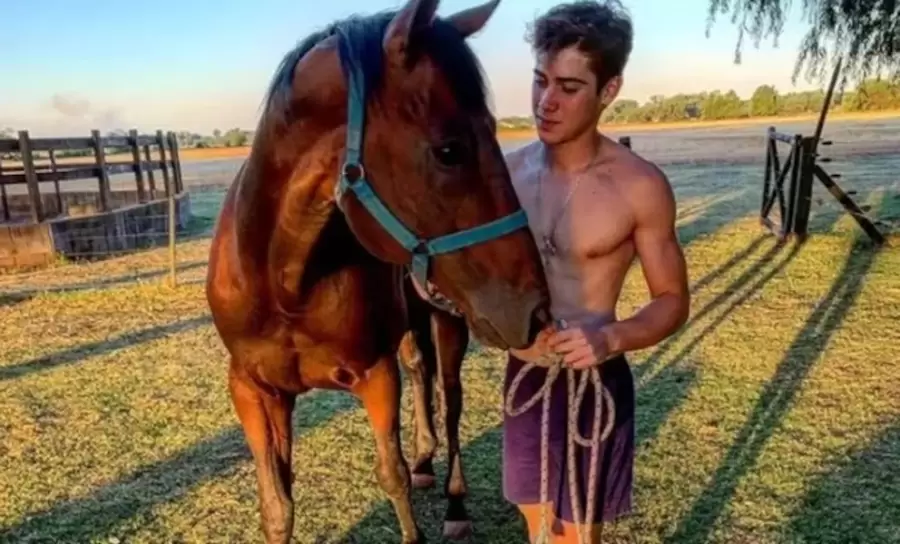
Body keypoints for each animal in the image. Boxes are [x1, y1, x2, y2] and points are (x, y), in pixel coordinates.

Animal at [204, 0, 552, 542]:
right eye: (448, 149)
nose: (535, 310)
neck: (284, 283)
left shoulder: (375, 376)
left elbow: (392, 476)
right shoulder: (253, 389)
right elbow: (278, 506)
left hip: (451, 321)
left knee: (450, 398)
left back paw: (454, 501)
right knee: (421, 370)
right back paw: (427, 460)